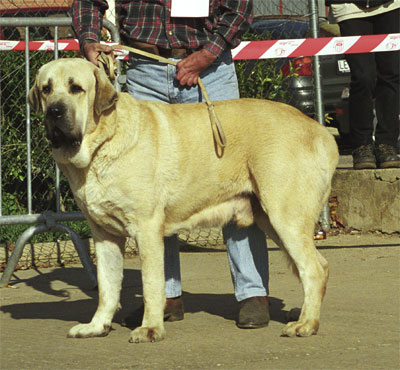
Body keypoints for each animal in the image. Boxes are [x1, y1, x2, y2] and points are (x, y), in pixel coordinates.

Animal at [29, 57, 340, 344]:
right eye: (46, 89)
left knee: (315, 268)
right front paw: (97, 326)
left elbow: (152, 283)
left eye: (76, 88)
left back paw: (306, 324)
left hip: (285, 216)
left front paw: (150, 328)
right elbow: (107, 286)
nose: (55, 111)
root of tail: (320, 130)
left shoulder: (146, 228)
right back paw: (303, 315)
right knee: (317, 267)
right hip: (272, 220)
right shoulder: (104, 235)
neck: (102, 142)